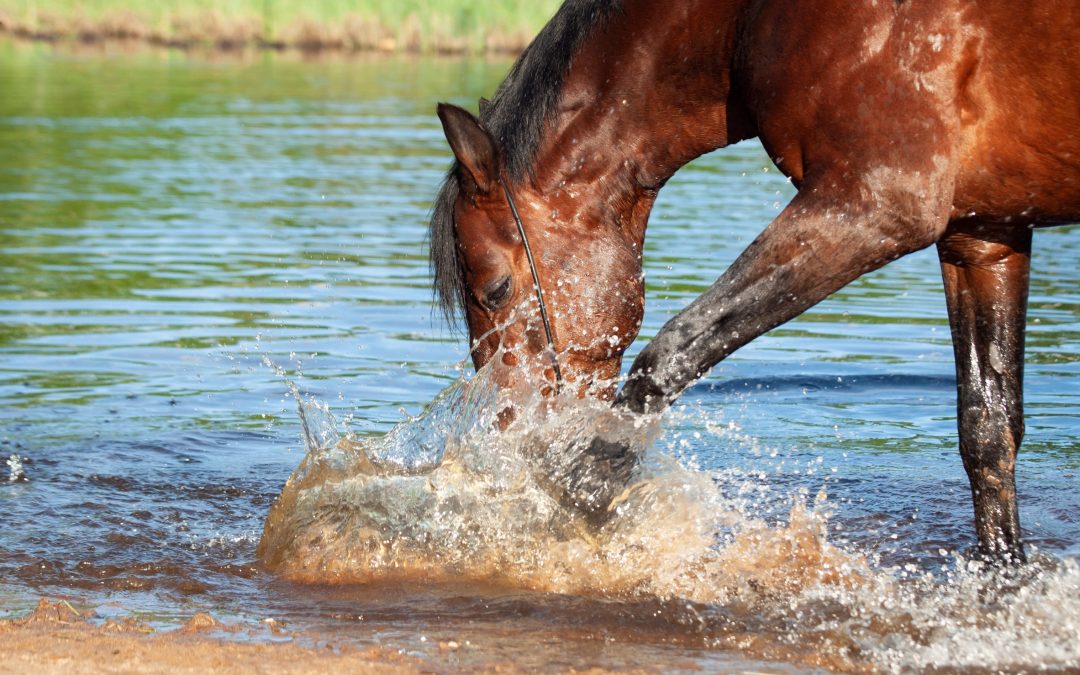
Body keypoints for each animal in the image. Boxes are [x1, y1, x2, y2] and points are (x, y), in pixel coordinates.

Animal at [429, 0, 1080, 563]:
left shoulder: (874, 205)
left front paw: (580, 491)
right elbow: (988, 428)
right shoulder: (982, 236)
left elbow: (673, 350)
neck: (748, 15)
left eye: (495, 290)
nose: (509, 445)